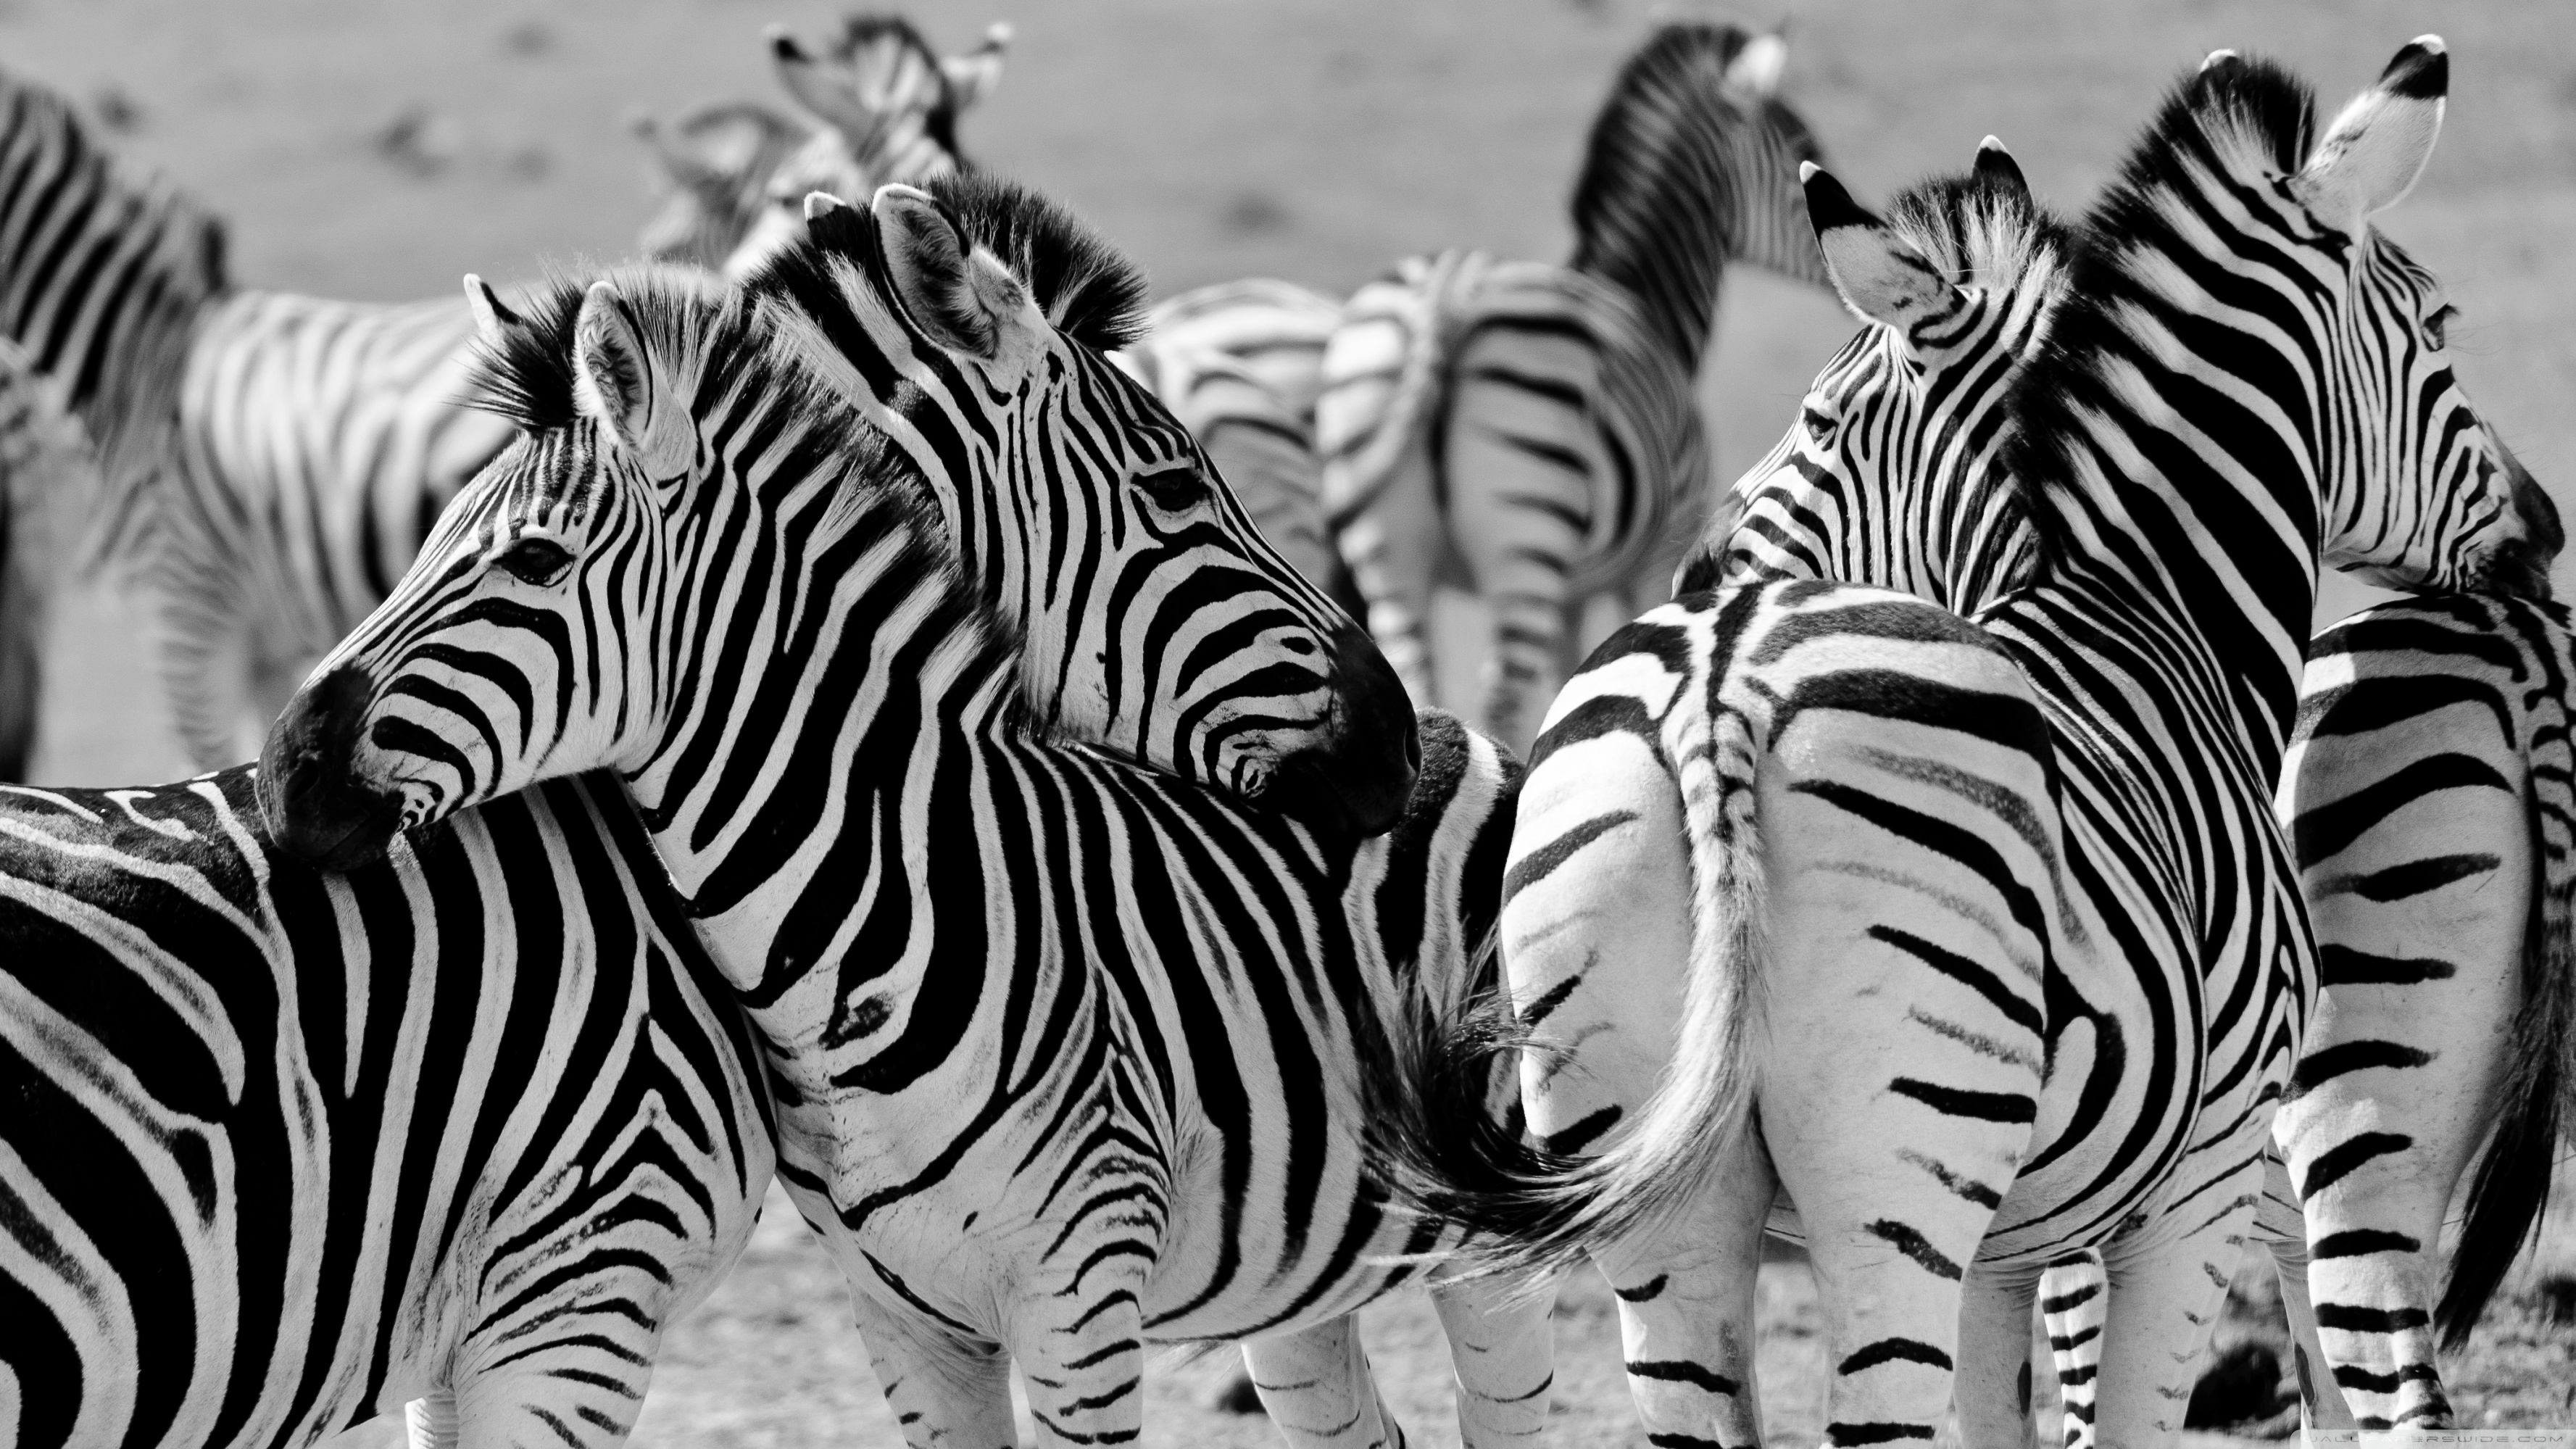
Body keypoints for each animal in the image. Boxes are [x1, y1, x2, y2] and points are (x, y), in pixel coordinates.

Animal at [1314, 20, 1828, 754]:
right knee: (1501, 696)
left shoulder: (1576, 588)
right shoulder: (1657, 554)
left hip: (1388, 547)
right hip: (1525, 538)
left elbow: (1581, 682)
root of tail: (1450, 294)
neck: (1646, 305)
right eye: (1805, 157)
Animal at [1371, 40, 2560, 1448]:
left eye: (1817, 422)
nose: (2544, 532)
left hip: (1650, 1182)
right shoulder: (2185, 1187)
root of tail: (1721, 687)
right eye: (2434, 325)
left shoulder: (2010, 1244)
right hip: (1922, 1173)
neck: (2155, 607)